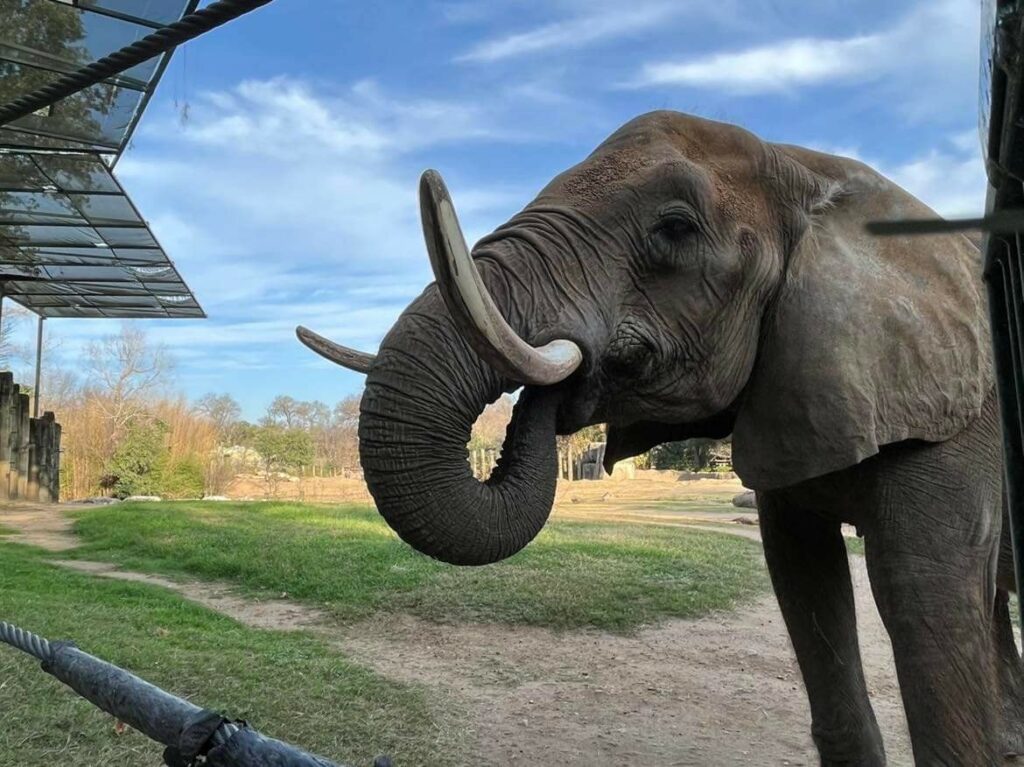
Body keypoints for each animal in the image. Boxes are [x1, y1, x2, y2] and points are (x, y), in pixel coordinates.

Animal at [299, 111, 1021, 764]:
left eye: (675, 228)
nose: (560, 388)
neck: (810, 171)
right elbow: (805, 578)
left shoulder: (960, 412)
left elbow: (920, 588)